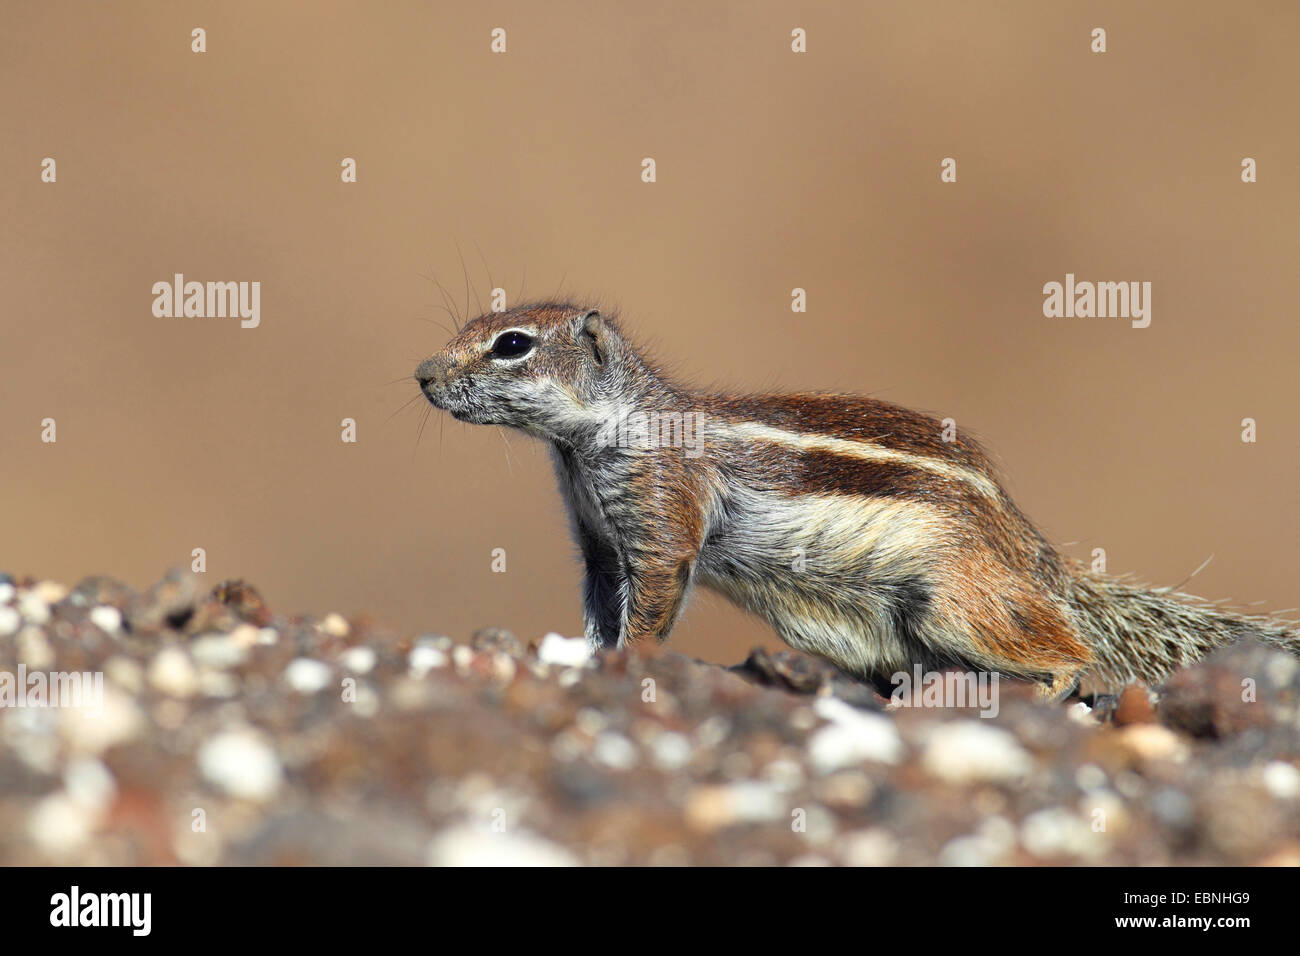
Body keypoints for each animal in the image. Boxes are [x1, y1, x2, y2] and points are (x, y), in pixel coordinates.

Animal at [418, 303, 1300, 697]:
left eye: (512, 345)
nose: (424, 375)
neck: (594, 436)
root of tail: (1032, 555)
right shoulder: (599, 544)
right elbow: (602, 601)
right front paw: (588, 653)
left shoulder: (664, 514)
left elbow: (659, 592)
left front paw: (629, 659)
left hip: (960, 603)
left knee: (1068, 648)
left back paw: (1054, 685)